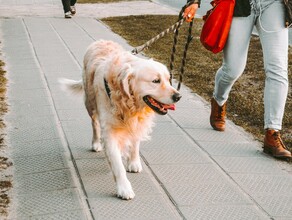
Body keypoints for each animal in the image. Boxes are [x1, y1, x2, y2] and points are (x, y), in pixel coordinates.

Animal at [60, 39, 180, 199]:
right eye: (155, 81)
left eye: (168, 80)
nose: (178, 96)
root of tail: (101, 41)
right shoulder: (110, 133)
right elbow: (117, 165)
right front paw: (124, 188)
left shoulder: (136, 123)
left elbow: (135, 143)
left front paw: (134, 162)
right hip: (90, 103)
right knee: (94, 123)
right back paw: (96, 143)